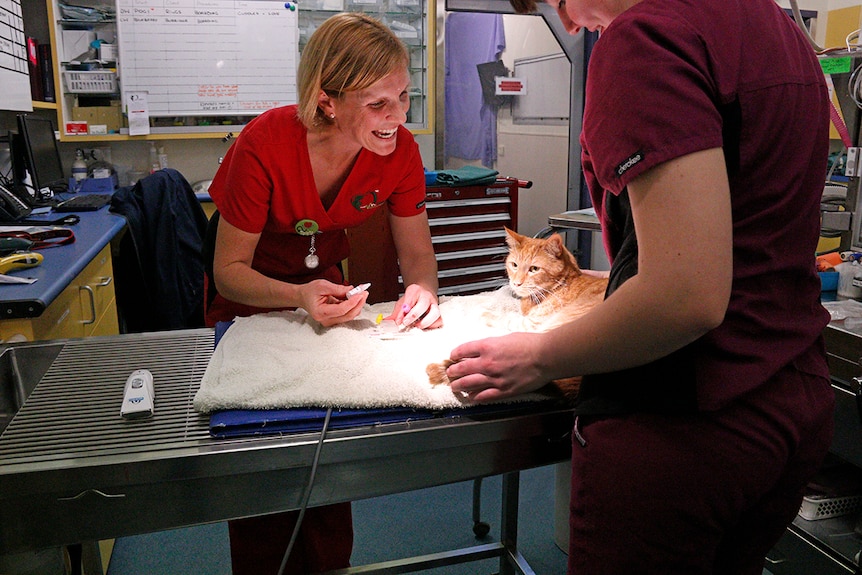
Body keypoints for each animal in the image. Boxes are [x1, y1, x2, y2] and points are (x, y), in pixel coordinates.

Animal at [428, 227, 612, 398]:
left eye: (534, 269)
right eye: (514, 265)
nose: (516, 283)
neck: (562, 283)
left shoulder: (531, 324)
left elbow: (506, 317)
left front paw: (484, 312)